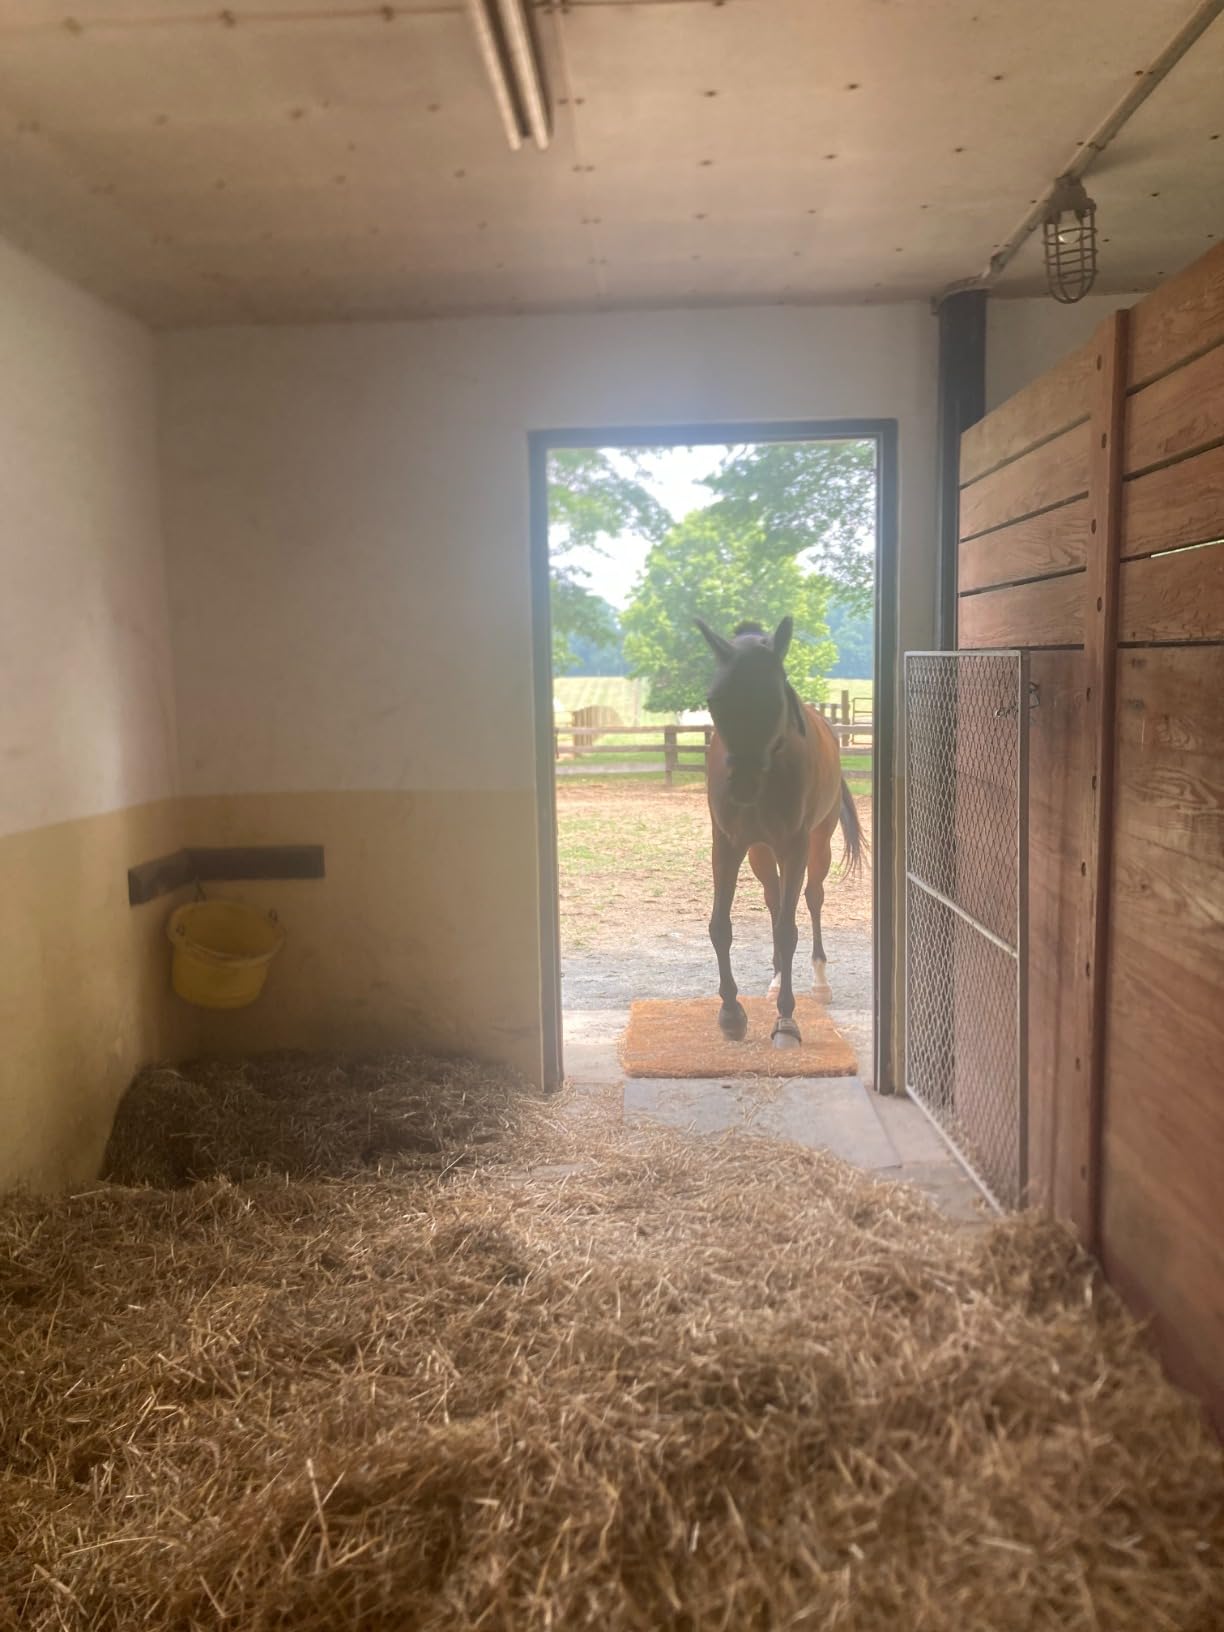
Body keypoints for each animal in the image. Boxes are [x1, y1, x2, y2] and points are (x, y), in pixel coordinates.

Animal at [697, 615, 864, 1050]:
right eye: (715, 700)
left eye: (775, 698)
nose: (742, 786)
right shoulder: (728, 845)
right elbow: (721, 926)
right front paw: (731, 1014)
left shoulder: (795, 846)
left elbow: (789, 930)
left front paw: (786, 1021)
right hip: (760, 852)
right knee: (774, 902)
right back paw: (774, 982)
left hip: (817, 846)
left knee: (812, 898)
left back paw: (820, 982)